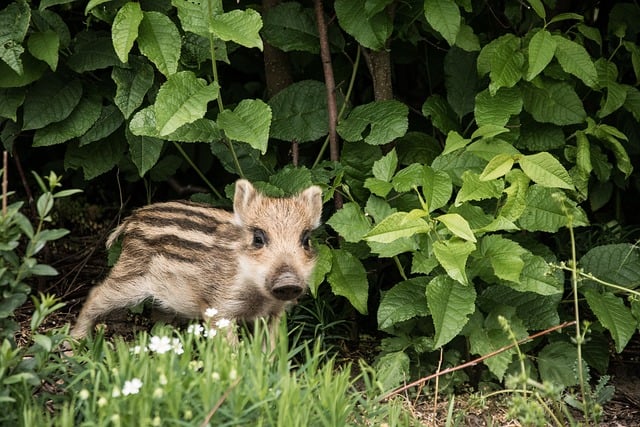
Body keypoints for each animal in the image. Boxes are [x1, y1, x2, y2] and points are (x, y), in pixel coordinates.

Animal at [70, 179, 323, 344]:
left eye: (306, 239)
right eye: (258, 238)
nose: (288, 281)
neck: (258, 294)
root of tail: (133, 218)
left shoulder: (274, 313)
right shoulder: (219, 307)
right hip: (131, 275)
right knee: (96, 293)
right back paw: (74, 344)